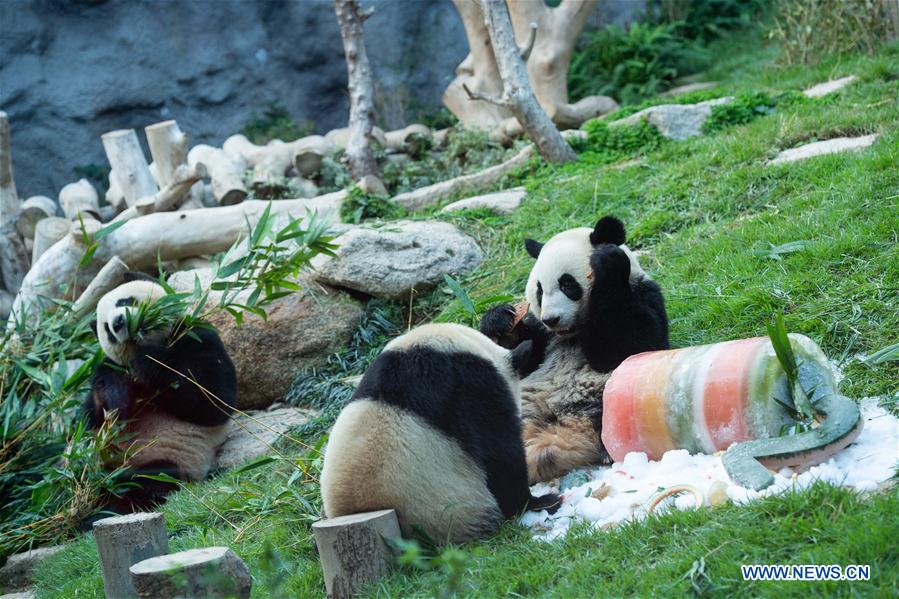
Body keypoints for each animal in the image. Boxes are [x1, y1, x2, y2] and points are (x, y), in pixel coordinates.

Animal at [83, 272, 238, 510]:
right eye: (107, 329)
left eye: (124, 301)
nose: (118, 322)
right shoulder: (111, 371)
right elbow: (93, 414)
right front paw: (116, 397)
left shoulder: (198, 336)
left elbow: (214, 400)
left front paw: (149, 362)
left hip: (170, 457)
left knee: (147, 482)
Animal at [480, 216, 669, 483]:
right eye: (539, 290)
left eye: (567, 283)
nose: (551, 319)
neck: (571, 334)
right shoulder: (543, 335)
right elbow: (523, 357)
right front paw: (499, 320)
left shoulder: (643, 295)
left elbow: (626, 345)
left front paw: (607, 264)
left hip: (611, 400)